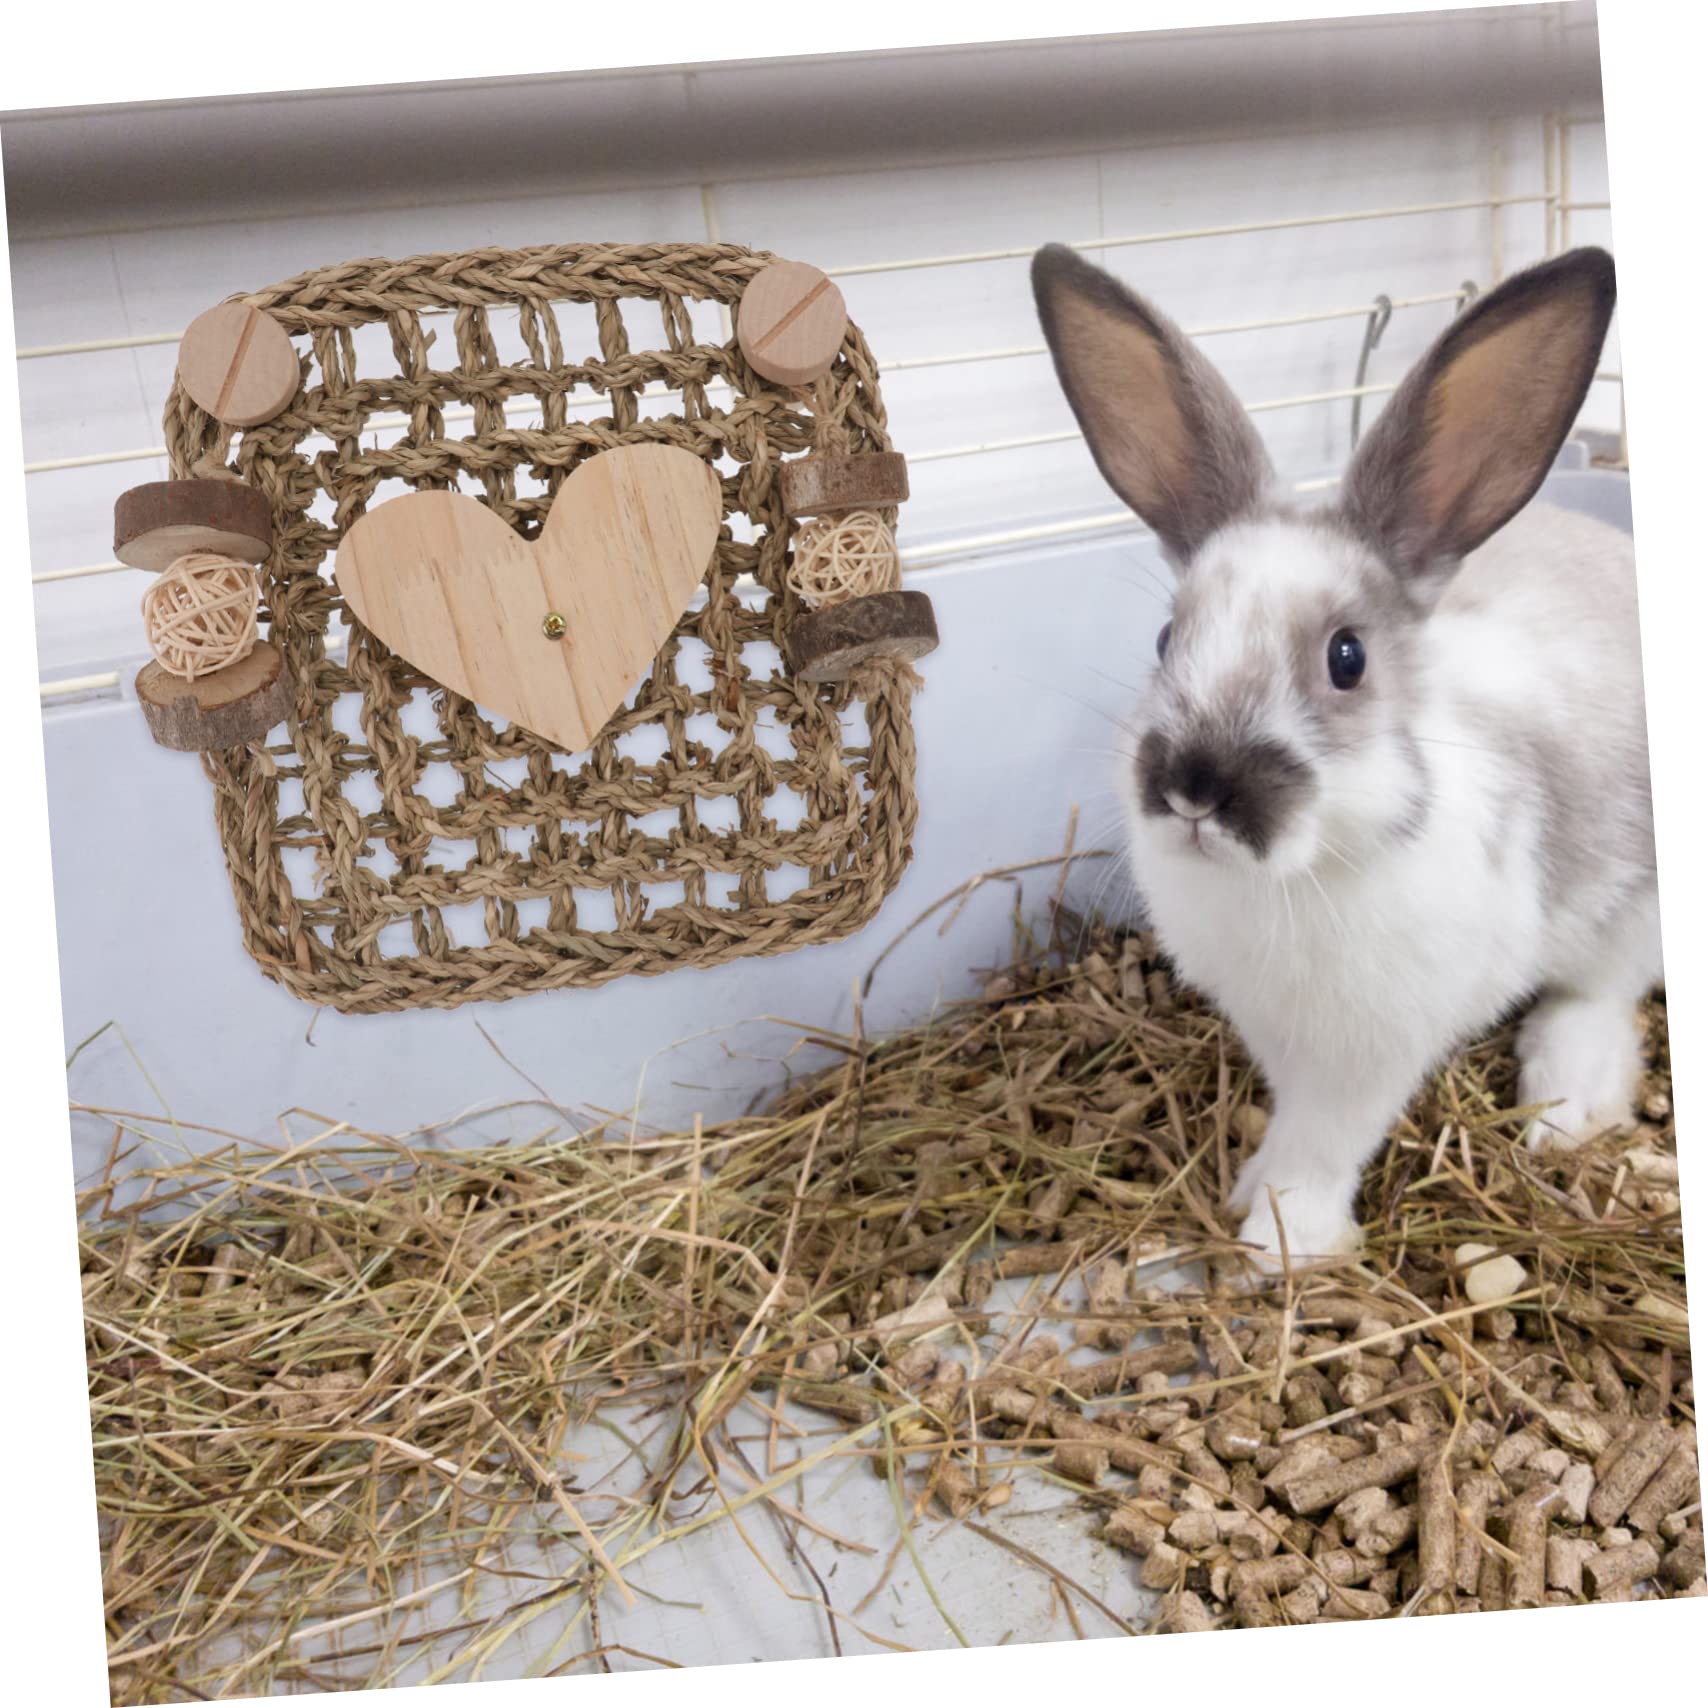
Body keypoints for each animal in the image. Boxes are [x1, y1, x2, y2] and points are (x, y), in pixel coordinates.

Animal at [1030, 242, 1660, 1264]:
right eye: (1166, 638)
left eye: (1347, 658)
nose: (1196, 788)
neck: (1295, 877)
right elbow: (1290, 1122)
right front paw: (1252, 1189)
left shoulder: (1370, 1057)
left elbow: (1324, 1143)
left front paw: (1281, 1241)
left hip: (1629, 910)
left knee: (1603, 996)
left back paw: (1561, 1102)